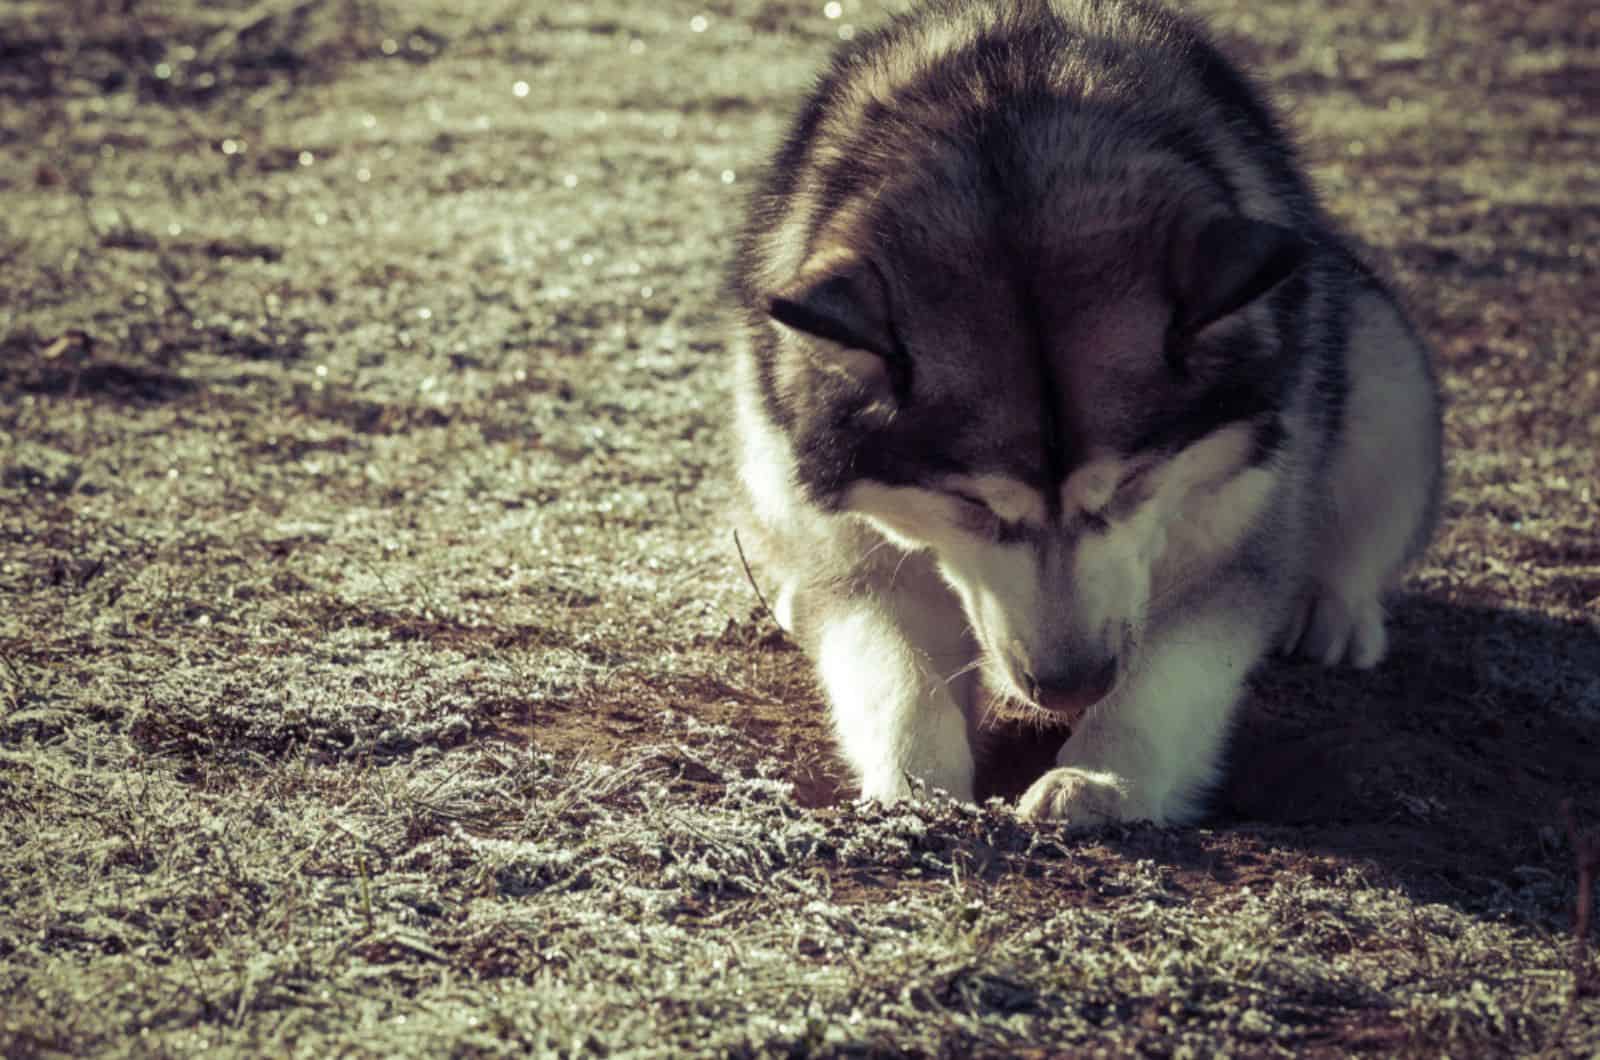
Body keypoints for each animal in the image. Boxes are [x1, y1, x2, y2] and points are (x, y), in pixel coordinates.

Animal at [732, 0, 1446, 832]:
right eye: (974, 506)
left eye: (1134, 483)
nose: (1072, 686)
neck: (1008, 132)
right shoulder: (851, 538)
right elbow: (895, 668)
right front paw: (917, 783)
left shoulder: (1236, 525)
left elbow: (1173, 670)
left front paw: (1104, 775)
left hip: (1379, 355)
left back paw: (1335, 608)